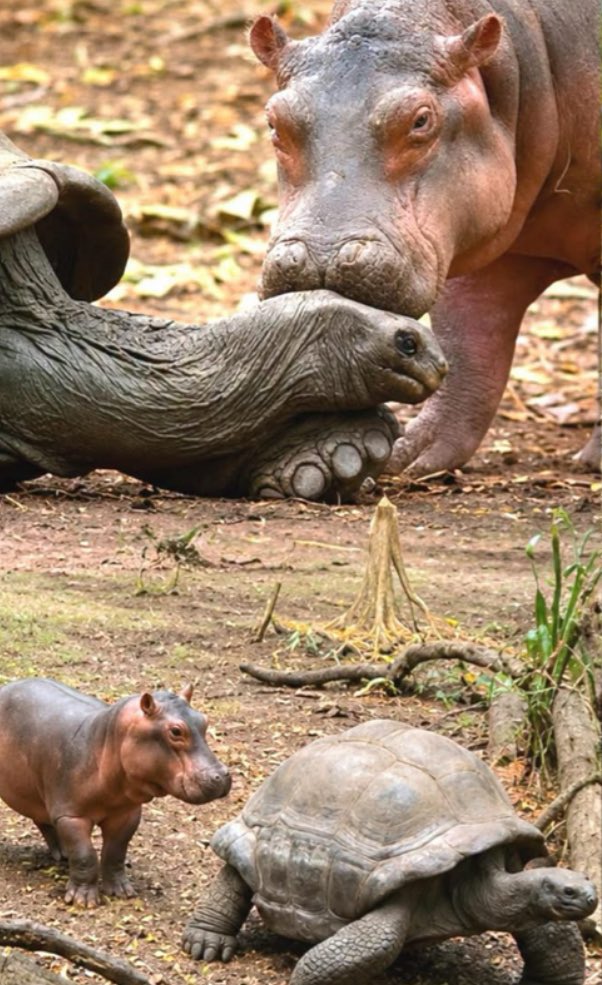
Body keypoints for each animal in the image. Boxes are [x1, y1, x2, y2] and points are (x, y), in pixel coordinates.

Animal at [0, 678, 231, 907]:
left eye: (204, 721)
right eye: (175, 731)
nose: (222, 776)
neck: (107, 740)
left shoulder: (127, 814)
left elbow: (115, 852)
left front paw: (122, 892)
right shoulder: (71, 815)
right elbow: (85, 855)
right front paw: (83, 900)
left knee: (43, 819)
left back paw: (63, 854)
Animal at [250, 0, 600, 474]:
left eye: (420, 120)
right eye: (274, 121)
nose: (321, 256)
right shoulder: (467, 246)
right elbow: (468, 341)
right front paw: (409, 456)